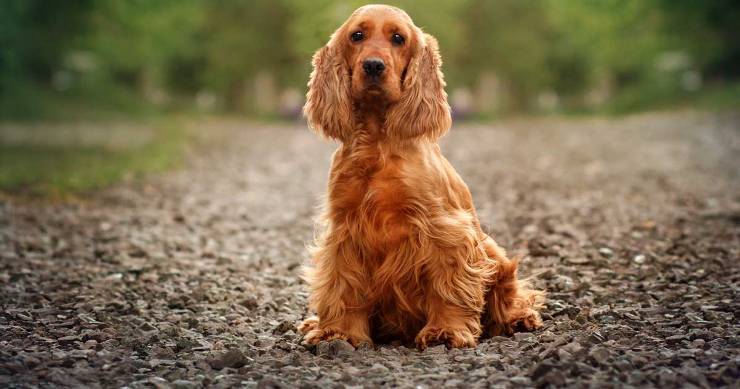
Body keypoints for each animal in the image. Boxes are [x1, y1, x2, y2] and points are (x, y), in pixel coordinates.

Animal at [294, 3, 544, 348]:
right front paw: (338, 332)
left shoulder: (443, 229)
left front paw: (446, 330)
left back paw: (519, 319)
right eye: (357, 36)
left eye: (398, 38)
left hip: (494, 253)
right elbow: (342, 284)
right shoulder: (344, 230)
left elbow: (448, 285)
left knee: (511, 296)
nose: (373, 66)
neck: (378, 143)